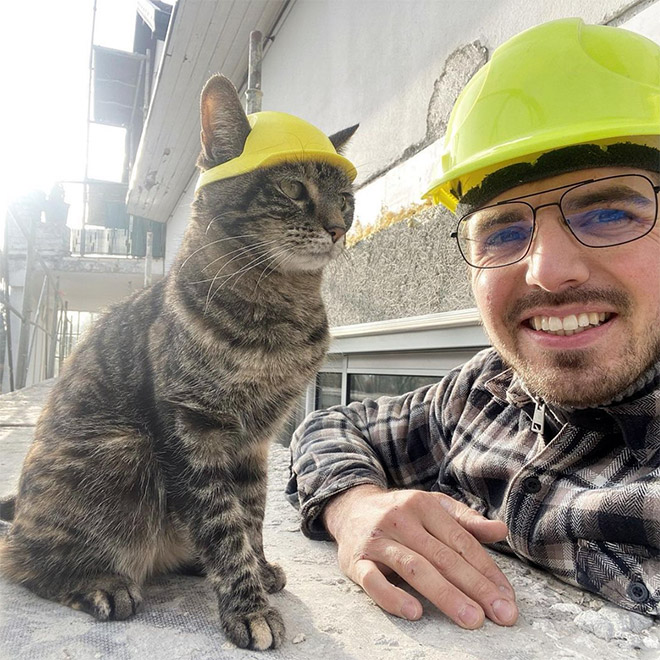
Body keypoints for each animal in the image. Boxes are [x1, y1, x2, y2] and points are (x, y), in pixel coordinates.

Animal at [0, 75, 356, 652]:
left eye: (346, 198)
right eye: (292, 188)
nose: (337, 227)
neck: (280, 310)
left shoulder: (255, 441)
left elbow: (250, 514)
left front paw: (259, 570)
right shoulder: (193, 431)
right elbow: (223, 523)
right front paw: (248, 605)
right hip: (126, 451)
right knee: (21, 560)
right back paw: (101, 582)